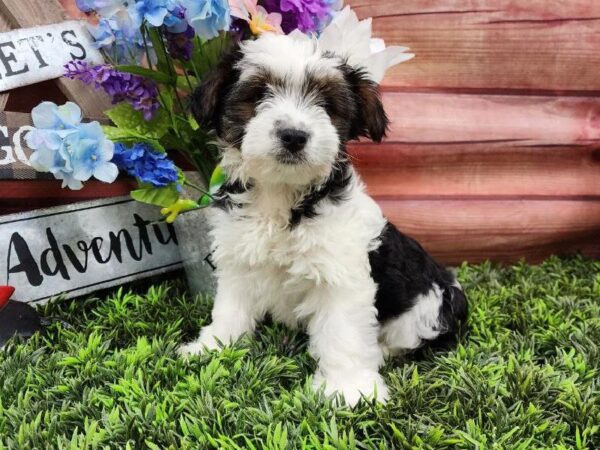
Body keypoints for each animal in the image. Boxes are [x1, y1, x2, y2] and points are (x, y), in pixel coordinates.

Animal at [178, 33, 468, 406]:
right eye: (257, 95)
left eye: (327, 105)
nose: (294, 135)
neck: (282, 195)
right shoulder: (240, 260)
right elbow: (230, 306)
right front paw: (213, 346)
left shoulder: (341, 273)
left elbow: (344, 330)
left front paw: (349, 389)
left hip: (427, 308)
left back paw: (379, 353)